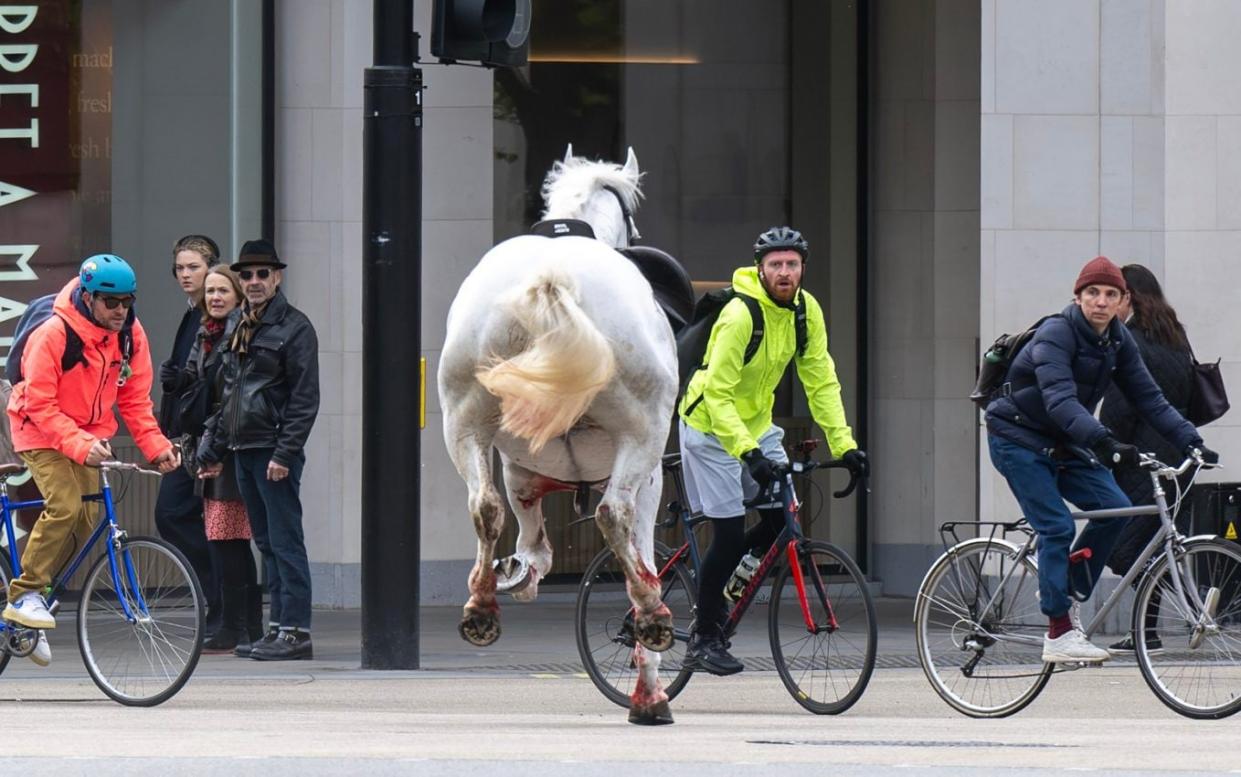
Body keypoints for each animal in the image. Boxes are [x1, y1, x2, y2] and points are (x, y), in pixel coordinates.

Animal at [439, 146, 680, 724]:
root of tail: (552, 276)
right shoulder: (652, 478)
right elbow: (639, 548)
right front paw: (649, 691)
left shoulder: (520, 468)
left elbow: (523, 522)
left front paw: (522, 568)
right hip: (642, 432)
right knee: (613, 514)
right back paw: (653, 615)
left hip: (463, 419)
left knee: (484, 505)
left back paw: (482, 604)